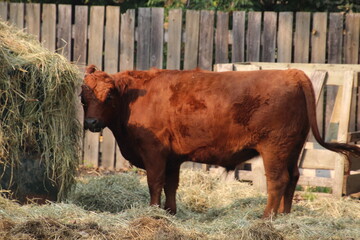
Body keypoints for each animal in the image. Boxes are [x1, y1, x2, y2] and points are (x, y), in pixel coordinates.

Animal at [81, 65, 360, 218]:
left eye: (108, 95)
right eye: (83, 97)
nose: (92, 123)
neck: (132, 98)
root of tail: (293, 73)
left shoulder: (154, 153)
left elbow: (154, 183)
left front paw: (153, 212)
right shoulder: (172, 158)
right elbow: (171, 185)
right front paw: (170, 213)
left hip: (275, 148)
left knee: (278, 180)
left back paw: (266, 218)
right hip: (293, 148)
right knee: (293, 178)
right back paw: (284, 216)